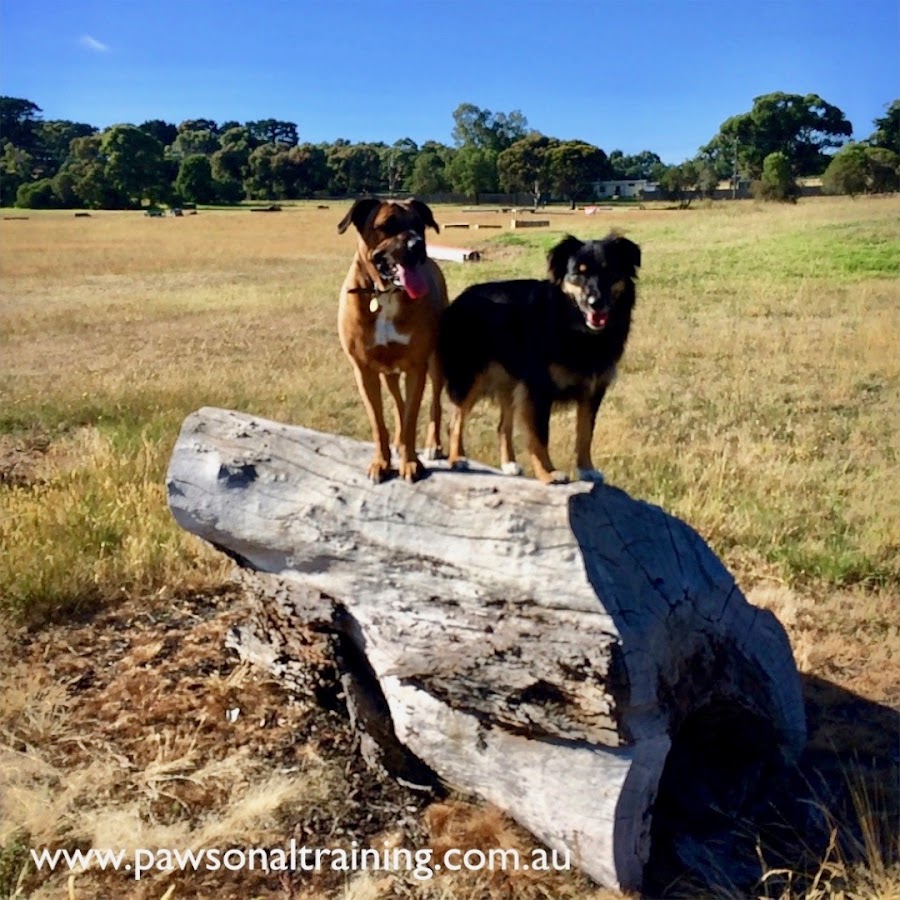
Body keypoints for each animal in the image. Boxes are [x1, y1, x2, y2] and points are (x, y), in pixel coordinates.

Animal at [337, 197, 448, 483]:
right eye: (387, 225)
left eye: (420, 225)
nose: (417, 244)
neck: (385, 294)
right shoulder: (364, 371)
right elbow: (379, 422)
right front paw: (381, 462)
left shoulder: (417, 367)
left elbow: (411, 419)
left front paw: (410, 463)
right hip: (389, 372)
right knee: (398, 403)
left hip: (435, 363)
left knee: (434, 404)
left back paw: (433, 445)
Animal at [438, 233, 640, 485]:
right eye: (578, 273)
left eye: (610, 270)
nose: (596, 303)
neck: (573, 322)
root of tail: (459, 299)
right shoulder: (538, 387)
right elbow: (540, 435)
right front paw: (548, 473)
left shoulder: (593, 388)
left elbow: (585, 432)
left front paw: (586, 469)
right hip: (469, 376)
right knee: (455, 421)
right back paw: (456, 458)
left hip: (509, 381)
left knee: (502, 425)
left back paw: (509, 464)